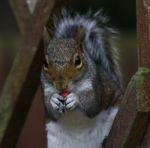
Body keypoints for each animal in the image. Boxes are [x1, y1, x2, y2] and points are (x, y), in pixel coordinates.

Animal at [40, 9, 122, 148]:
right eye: (45, 63)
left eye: (78, 60)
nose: (61, 85)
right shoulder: (45, 89)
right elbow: (51, 110)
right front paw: (54, 100)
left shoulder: (95, 84)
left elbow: (92, 104)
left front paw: (76, 99)